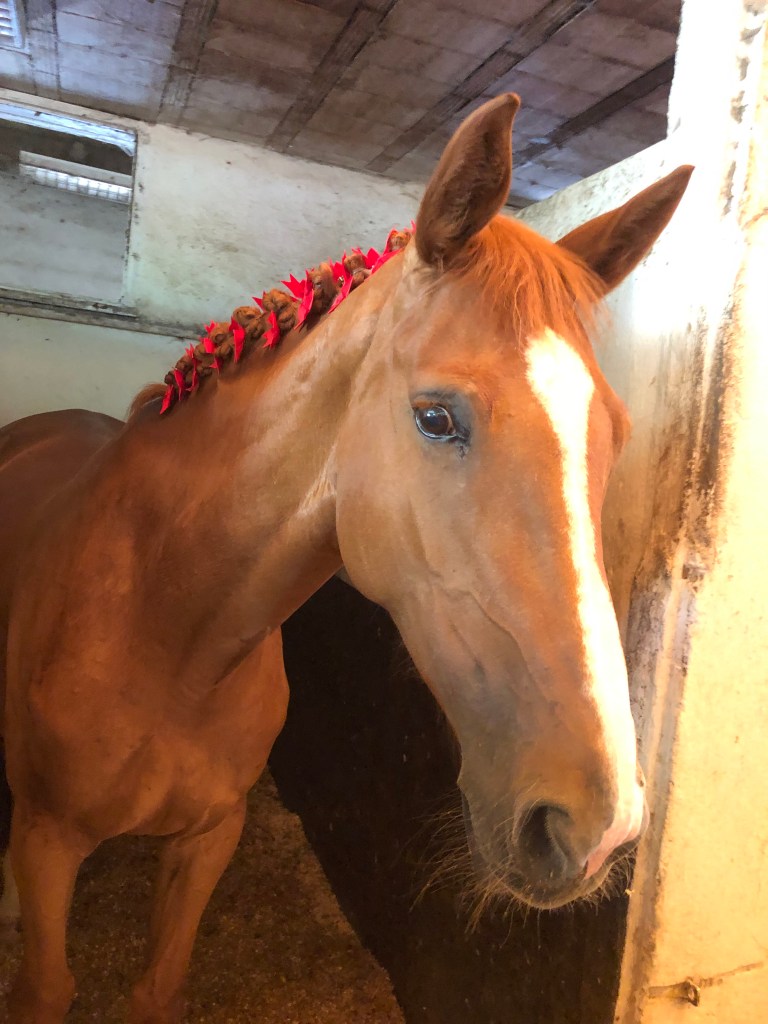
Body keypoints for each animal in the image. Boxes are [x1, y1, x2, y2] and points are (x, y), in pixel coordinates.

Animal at [0, 93, 691, 1023]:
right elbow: (44, 982)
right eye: (435, 417)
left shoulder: (209, 840)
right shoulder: (48, 842)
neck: (165, 627)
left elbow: (158, 986)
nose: (597, 826)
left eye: (613, 432)